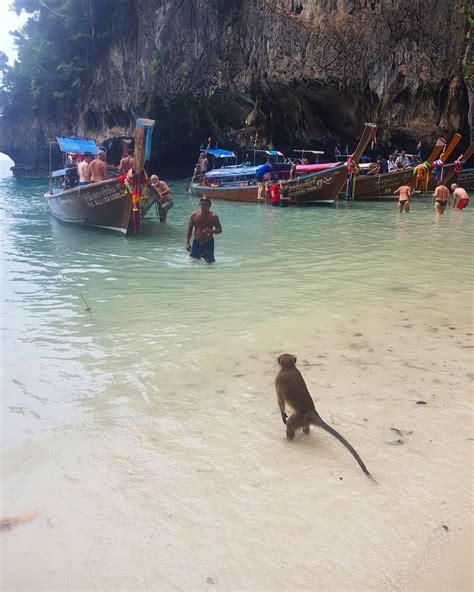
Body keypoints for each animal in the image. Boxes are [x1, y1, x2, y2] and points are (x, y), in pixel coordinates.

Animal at [276, 352, 376, 480]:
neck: (290, 368)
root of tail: (312, 412)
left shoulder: (279, 379)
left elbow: (280, 400)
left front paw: (283, 415)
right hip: (303, 419)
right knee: (305, 428)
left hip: (299, 417)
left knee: (290, 425)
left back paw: (287, 440)